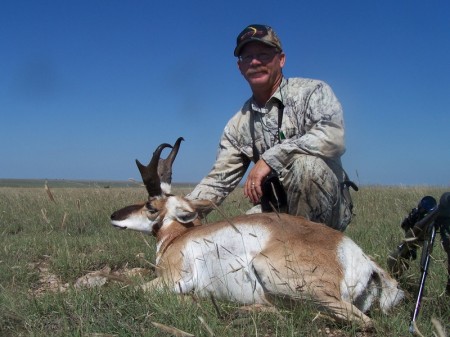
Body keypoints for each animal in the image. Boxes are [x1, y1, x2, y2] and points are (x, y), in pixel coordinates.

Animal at [111, 138, 404, 326]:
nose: (114, 216)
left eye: (150, 206)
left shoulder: (173, 279)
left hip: (273, 272)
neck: (179, 237)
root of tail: (359, 257)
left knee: (357, 321)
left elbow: (135, 289)